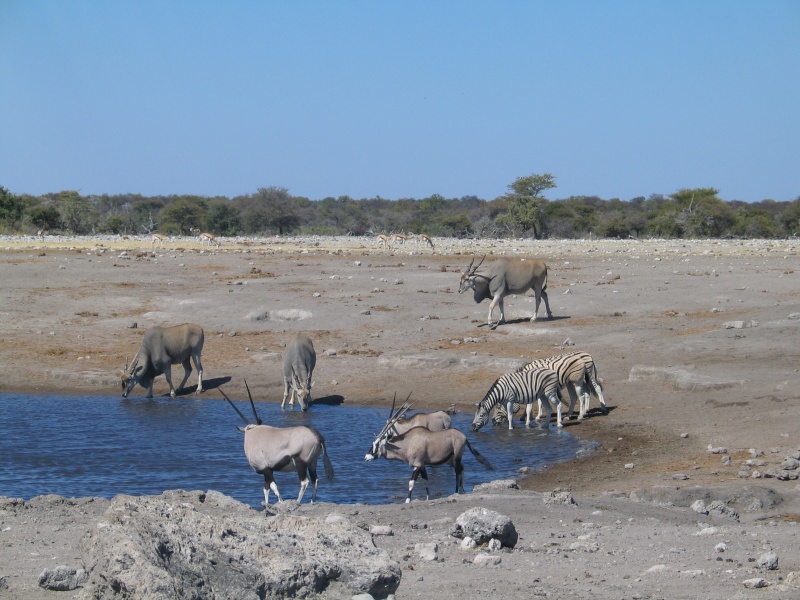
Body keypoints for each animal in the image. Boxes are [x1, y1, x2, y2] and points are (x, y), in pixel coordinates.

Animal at [364, 400, 494, 504]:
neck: (408, 442)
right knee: (461, 468)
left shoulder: (417, 465)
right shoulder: (422, 466)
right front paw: (428, 498)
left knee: (457, 472)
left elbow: (411, 483)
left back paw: (456, 491)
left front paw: (407, 501)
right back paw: (461, 491)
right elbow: (426, 481)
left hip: (456, 457)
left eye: (377, 444)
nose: (366, 457)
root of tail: (463, 436)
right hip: (452, 460)